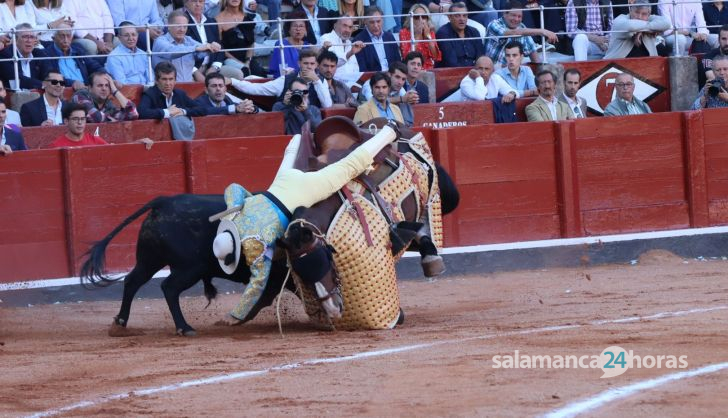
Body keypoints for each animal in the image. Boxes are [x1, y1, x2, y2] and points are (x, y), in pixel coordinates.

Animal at [79, 195, 292, 336]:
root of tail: (163, 202)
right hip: (190, 268)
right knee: (169, 287)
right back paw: (184, 327)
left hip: (149, 260)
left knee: (132, 281)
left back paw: (120, 323)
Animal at [276, 118, 458, 330]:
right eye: (299, 272)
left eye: (325, 259)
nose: (332, 310)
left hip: (430, 193)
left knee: (425, 221)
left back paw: (431, 259)